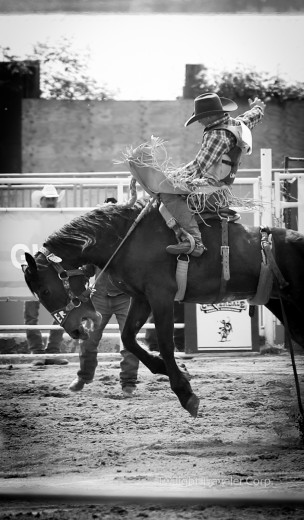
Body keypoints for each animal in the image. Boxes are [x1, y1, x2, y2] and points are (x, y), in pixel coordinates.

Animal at [22, 203, 304, 418]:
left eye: (44, 291)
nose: (75, 329)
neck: (126, 239)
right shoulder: (141, 298)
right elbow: (128, 338)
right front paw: (174, 371)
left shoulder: (161, 297)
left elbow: (166, 344)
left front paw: (185, 393)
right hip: (283, 305)